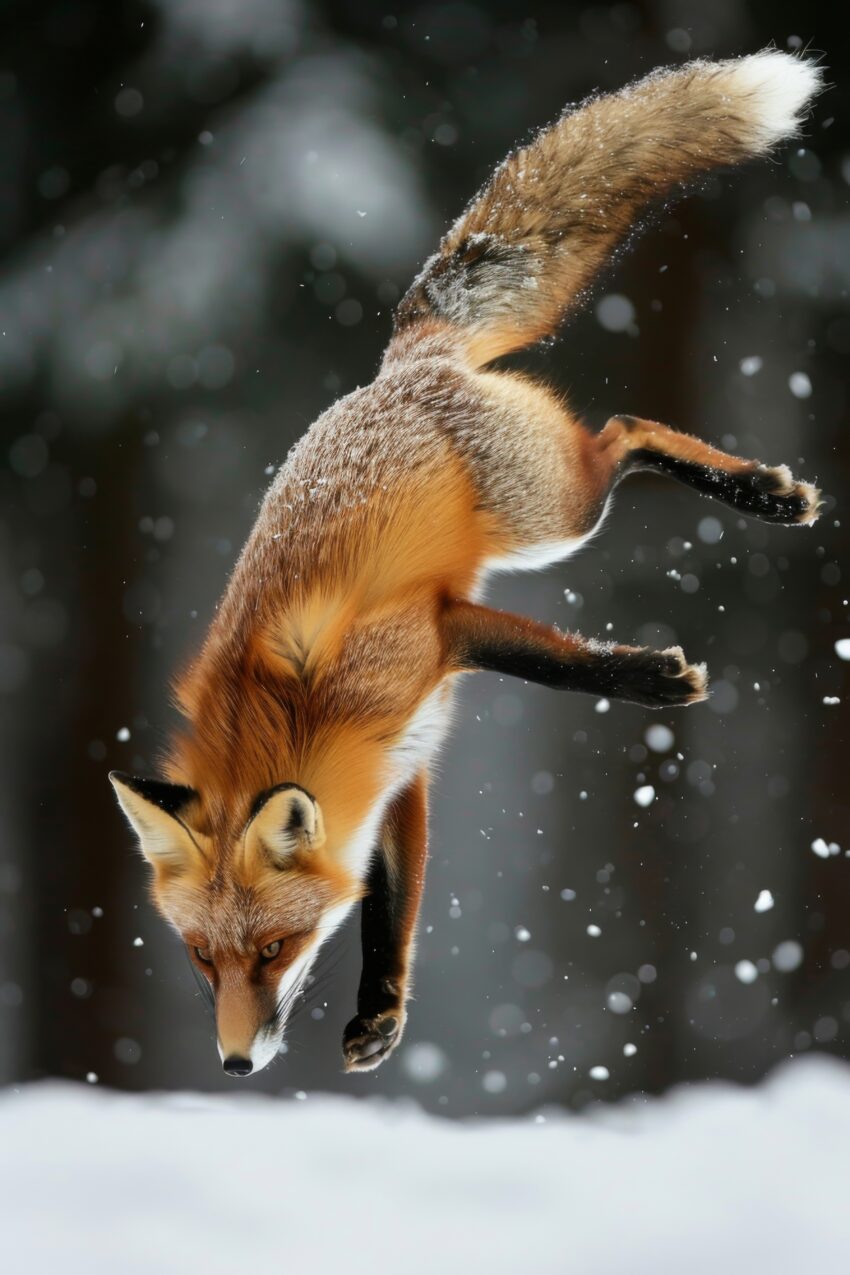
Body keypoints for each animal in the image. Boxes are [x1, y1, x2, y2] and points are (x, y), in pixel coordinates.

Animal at [111, 50, 824, 1078]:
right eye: (204, 958)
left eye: (276, 949)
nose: (236, 1064)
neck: (294, 720)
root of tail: (405, 360)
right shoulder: (398, 768)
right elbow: (391, 905)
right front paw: (381, 1013)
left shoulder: (437, 632)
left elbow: (555, 662)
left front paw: (651, 678)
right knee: (624, 430)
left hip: (559, 515)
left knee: (625, 431)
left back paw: (763, 493)